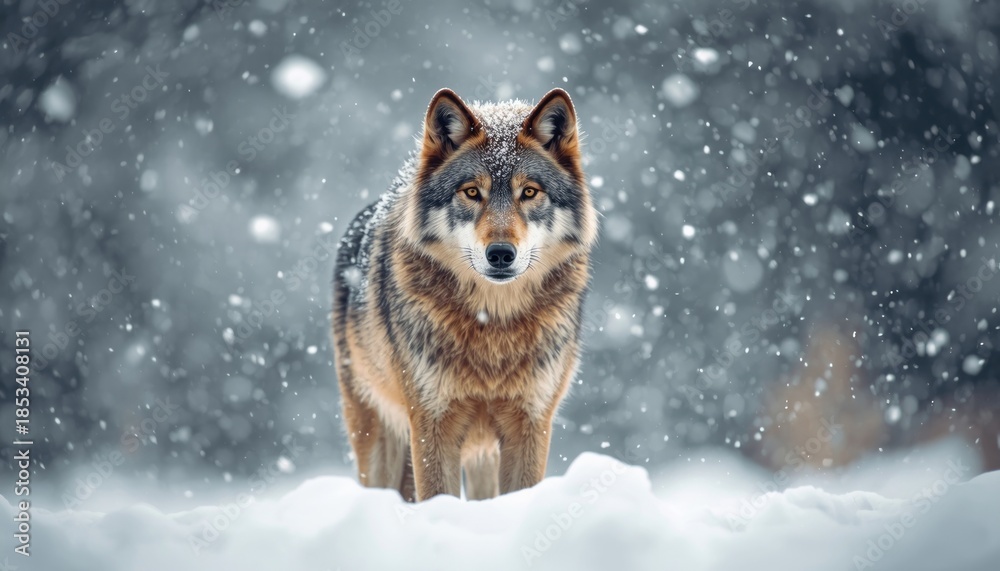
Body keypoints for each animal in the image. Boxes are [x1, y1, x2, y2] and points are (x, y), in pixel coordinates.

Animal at [331, 88, 598, 501]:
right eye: (472, 192)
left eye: (529, 192)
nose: (501, 254)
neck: (494, 325)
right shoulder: (432, 424)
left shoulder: (532, 422)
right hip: (377, 432)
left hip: (481, 454)